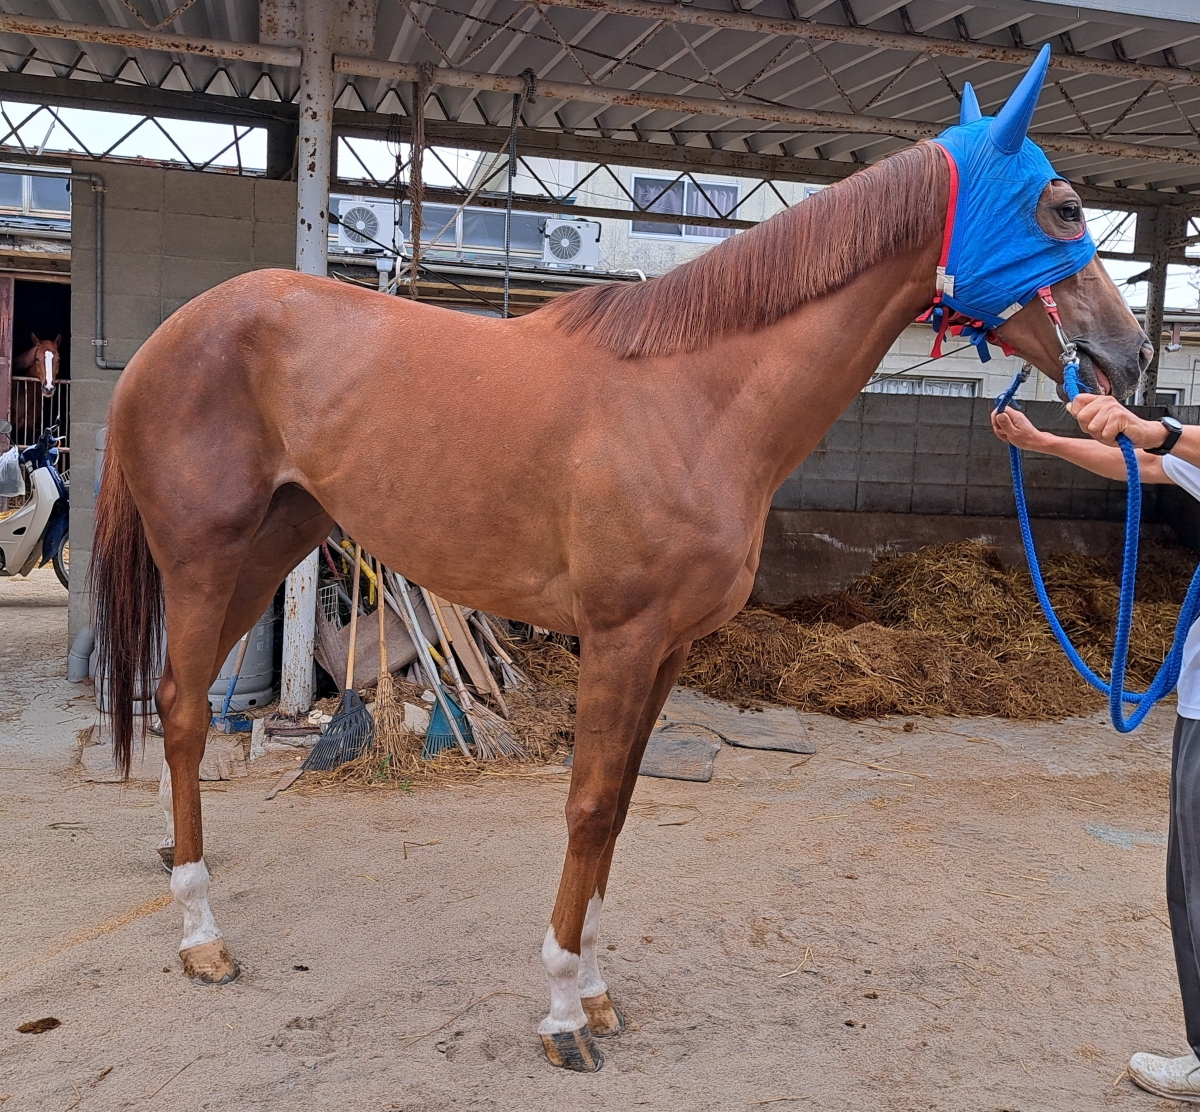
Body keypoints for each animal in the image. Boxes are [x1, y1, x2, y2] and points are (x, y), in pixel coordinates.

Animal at [90, 58, 1150, 1071]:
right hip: (203, 559)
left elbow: (626, 807)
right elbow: (592, 807)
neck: (695, 400)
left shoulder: (668, 648)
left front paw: (598, 992)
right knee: (182, 710)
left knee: (180, 700)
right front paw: (565, 1012)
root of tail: (171, 335)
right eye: (1063, 209)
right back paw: (200, 936)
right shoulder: (621, 640)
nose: (1130, 356)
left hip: (266, 550)